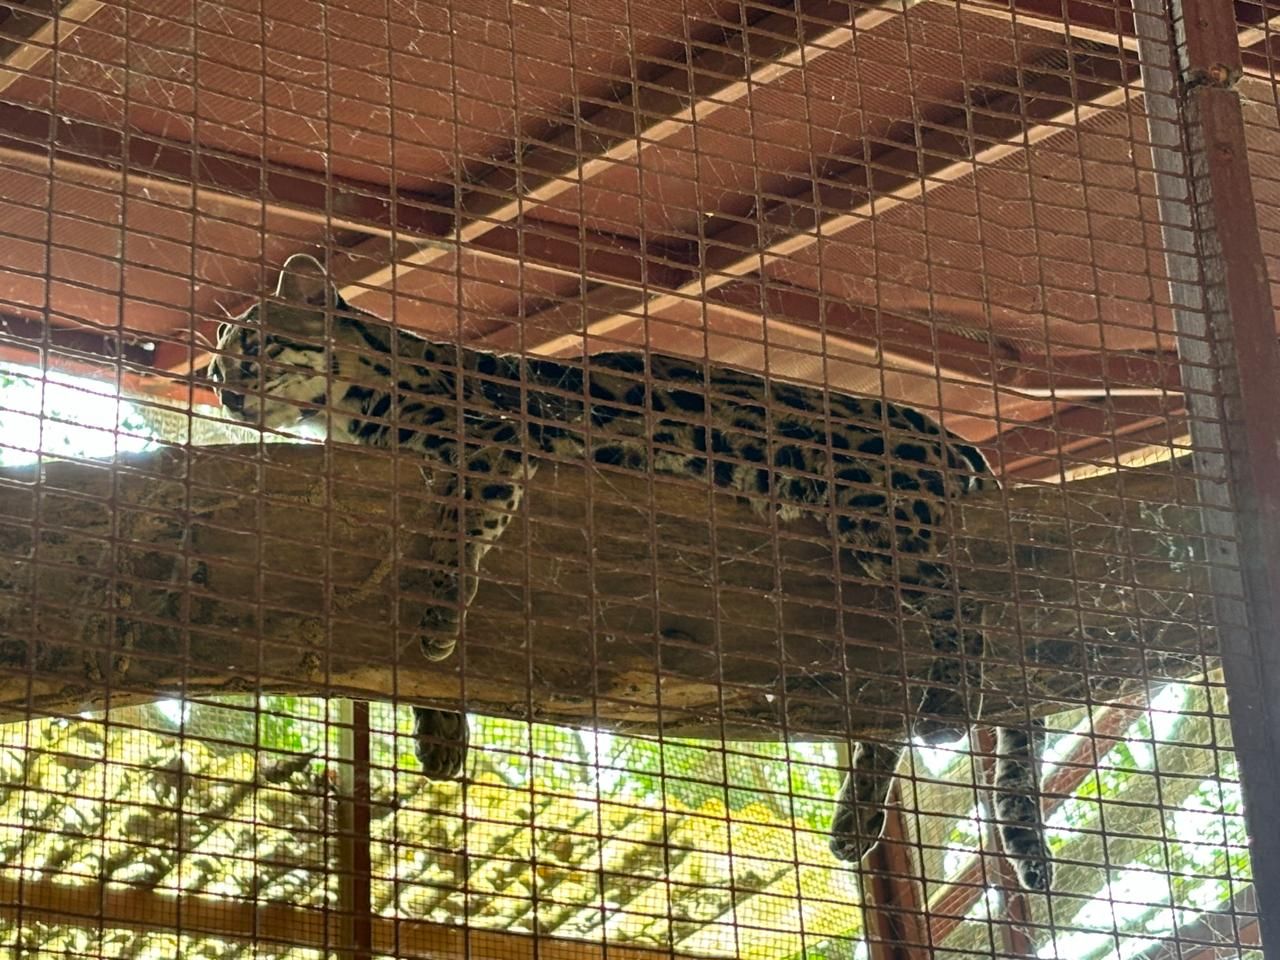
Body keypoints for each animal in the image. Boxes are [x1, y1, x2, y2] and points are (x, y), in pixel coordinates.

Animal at [208, 253, 1052, 892]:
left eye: (252, 344)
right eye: (216, 366)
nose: (224, 391)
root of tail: (949, 435)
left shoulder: (492, 444)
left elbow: (453, 538)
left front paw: (441, 608)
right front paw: (443, 731)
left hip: (882, 515)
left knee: (966, 608)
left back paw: (945, 708)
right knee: (889, 708)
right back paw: (859, 818)